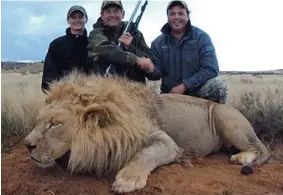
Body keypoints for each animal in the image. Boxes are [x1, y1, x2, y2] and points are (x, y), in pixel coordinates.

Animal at [23, 71, 270, 193]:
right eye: (38, 122)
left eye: (54, 124)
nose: (27, 145)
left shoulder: (166, 142)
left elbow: (145, 154)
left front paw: (127, 179)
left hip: (223, 115)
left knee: (261, 149)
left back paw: (241, 157)